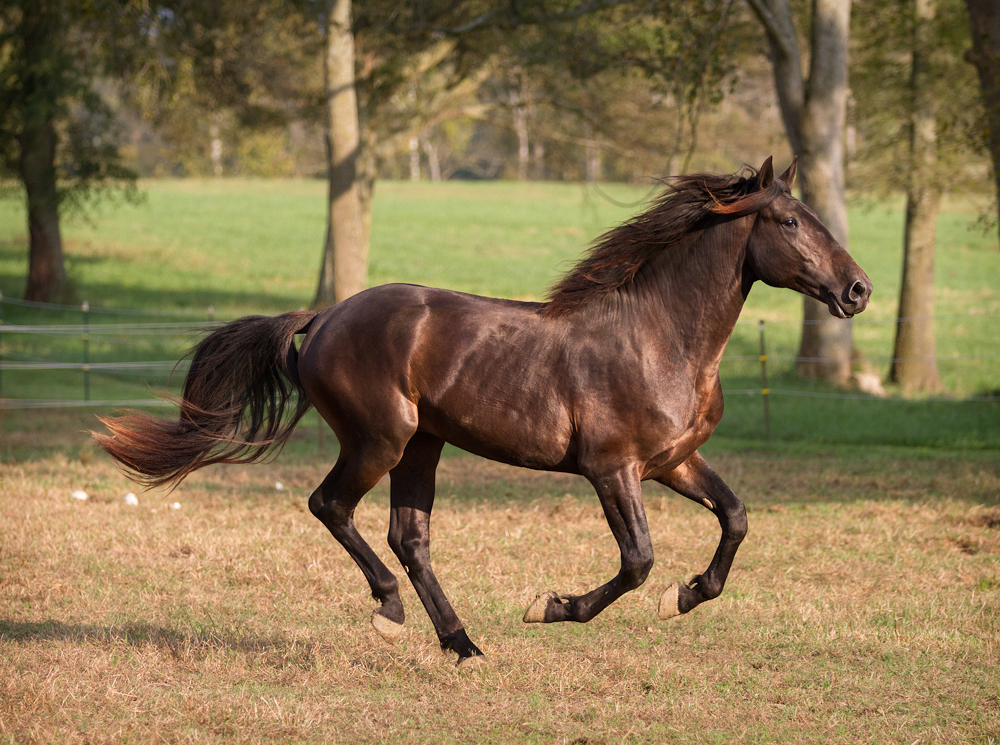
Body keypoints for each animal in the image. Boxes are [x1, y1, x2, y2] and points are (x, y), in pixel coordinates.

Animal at [95, 158, 876, 668]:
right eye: (789, 220)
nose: (858, 290)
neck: (659, 337)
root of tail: (323, 318)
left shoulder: (673, 462)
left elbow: (735, 518)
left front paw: (683, 599)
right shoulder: (612, 468)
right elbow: (637, 560)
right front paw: (550, 606)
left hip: (424, 445)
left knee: (409, 535)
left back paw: (462, 643)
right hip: (382, 438)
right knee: (331, 506)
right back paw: (390, 614)